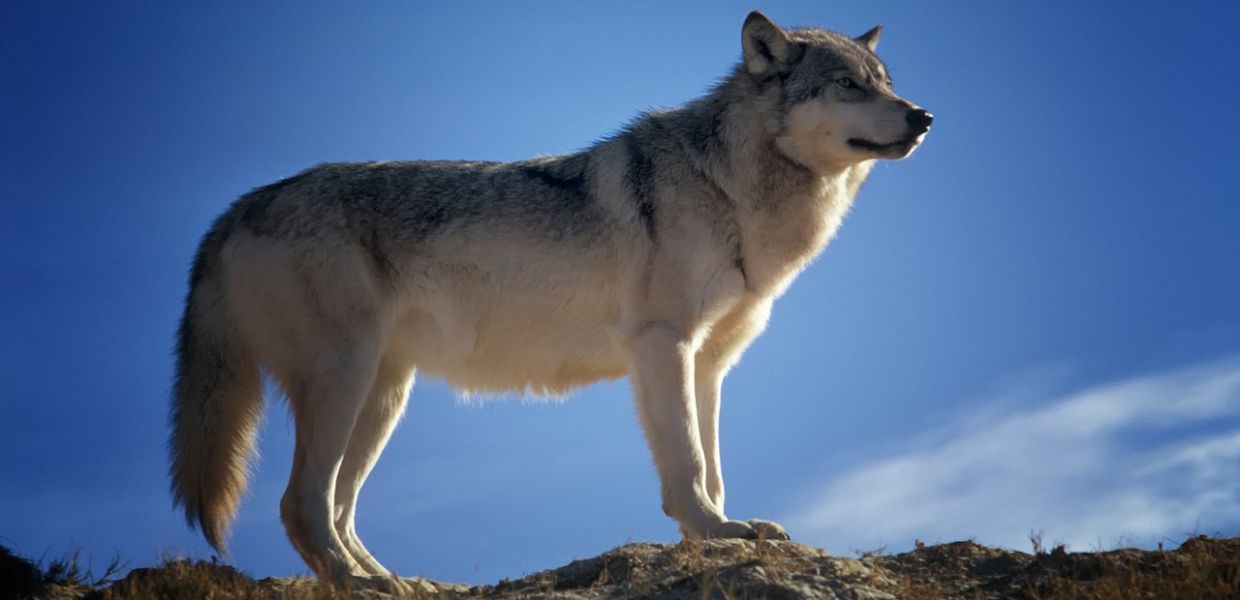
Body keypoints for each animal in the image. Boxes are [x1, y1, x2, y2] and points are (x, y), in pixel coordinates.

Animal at [169, 11, 931, 589]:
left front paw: (723, 532)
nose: (923, 117)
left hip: (383, 397)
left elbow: (713, 466)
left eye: (886, 84)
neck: (730, 188)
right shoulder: (663, 346)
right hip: (344, 381)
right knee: (302, 504)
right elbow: (687, 464)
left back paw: (394, 581)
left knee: (338, 508)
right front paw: (713, 532)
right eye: (847, 86)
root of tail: (237, 208)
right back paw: (359, 584)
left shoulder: (710, 364)